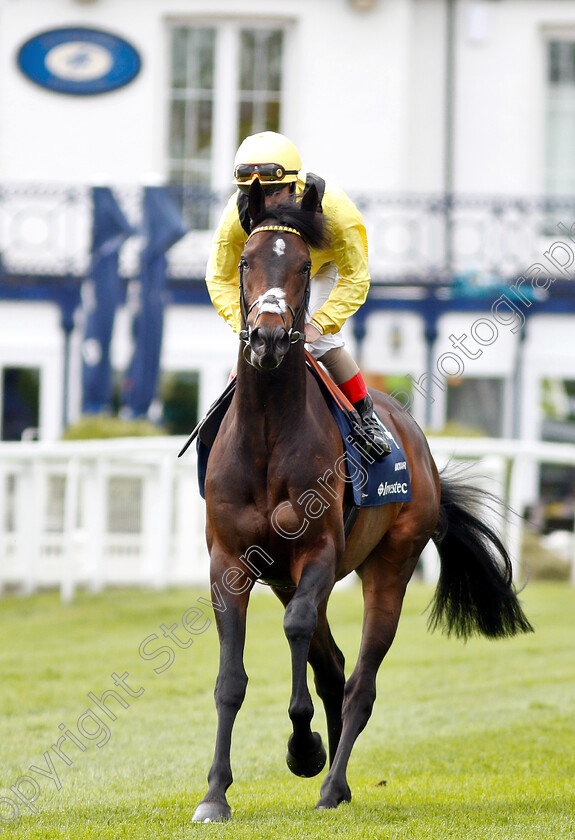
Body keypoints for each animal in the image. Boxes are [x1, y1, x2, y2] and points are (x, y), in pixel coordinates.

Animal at [191, 182, 532, 820]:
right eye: (246, 262)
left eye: (304, 267)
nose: (268, 337)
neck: (269, 432)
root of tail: (423, 453)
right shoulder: (230, 562)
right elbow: (231, 680)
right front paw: (215, 794)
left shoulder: (320, 552)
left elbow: (298, 633)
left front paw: (303, 748)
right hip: (287, 576)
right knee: (333, 667)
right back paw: (335, 778)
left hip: (390, 563)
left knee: (360, 682)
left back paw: (331, 784)